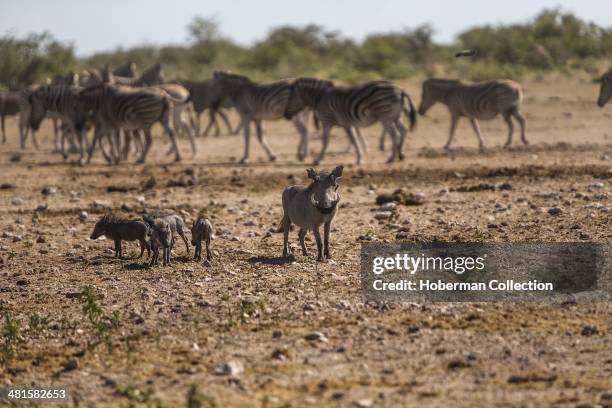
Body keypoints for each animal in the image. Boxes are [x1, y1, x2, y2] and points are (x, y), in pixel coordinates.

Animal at [286, 78, 416, 164]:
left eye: (290, 98)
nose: (288, 116)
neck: (320, 97)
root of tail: (400, 90)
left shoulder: (326, 120)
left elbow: (325, 141)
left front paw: (318, 160)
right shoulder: (347, 124)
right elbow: (354, 140)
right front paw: (359, 158)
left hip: (386, 116)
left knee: (394, 134)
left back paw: (391, 158)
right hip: (396, 116)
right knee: (403, 130)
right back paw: (401, 154)